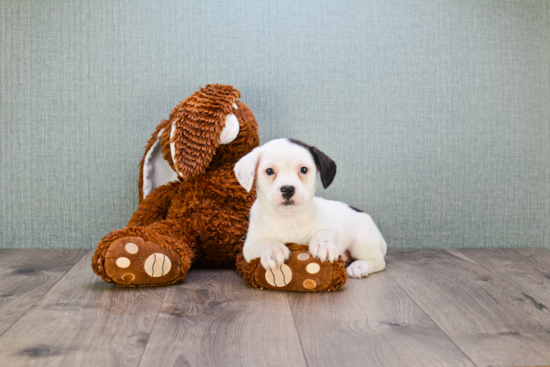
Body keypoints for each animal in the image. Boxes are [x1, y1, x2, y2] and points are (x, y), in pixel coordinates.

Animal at [233, 138, 388, 278]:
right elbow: (264, 242)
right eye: (269, 171)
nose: (288, 189)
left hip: (361, 242)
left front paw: (323, 245)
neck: (288, 216)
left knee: (378, 261)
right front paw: (273, 250)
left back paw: (359, 266)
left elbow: (323, 233)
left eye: (303, 169)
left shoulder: (329, 227)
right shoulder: (249, 244)